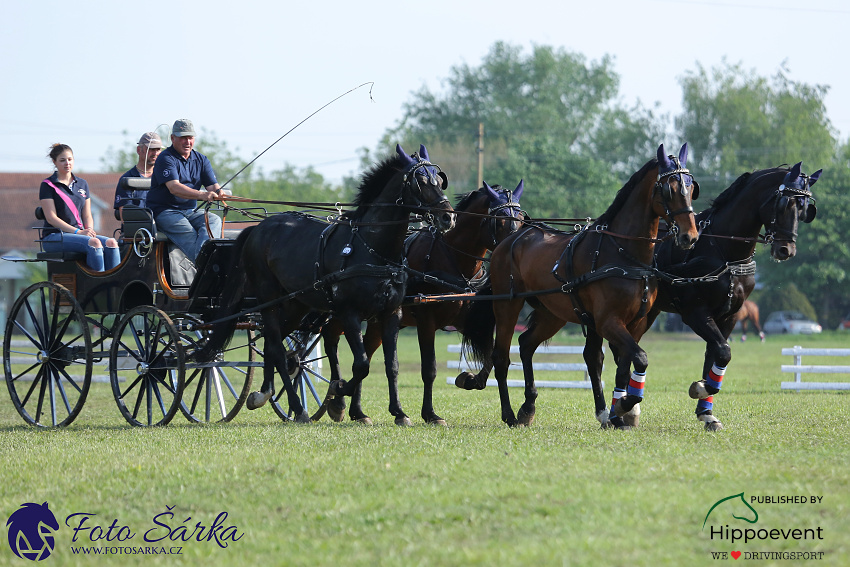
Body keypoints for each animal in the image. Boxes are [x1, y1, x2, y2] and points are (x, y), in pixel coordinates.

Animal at [195, 144, 454, 424]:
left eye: (439, 180)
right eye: (420, 182)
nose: (448, 217)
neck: (372, 248)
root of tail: (258, 228)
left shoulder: (390, 313)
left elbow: (391, 365)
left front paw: (399, 412)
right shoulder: (349, 312)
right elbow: (361, 364)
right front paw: (338, 392)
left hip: (295, 305)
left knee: (274, 347)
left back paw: (264, 393)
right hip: (268, 300)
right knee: (277, 349)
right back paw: (297, 408)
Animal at [320, 180, 524, 424]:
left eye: (521, 218)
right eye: (500, 220)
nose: (513, 250)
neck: (451, 260)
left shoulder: (465, 320)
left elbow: (492, 357)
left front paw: (470, 380)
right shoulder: (426, 320)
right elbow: (429, 369)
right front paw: (430, 414)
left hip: (378, 321)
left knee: (365, 352)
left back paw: (357, 412)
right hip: (345, 312)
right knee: (331, 338)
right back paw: (337, 400)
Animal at [464, 144, 696, 428]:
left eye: (691, 187)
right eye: (669, 189)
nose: (689, 236)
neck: (624, 253)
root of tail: (511, 238)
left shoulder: (634, 323)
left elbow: (622, 364)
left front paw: (616, 411)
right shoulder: (608, 321)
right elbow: (638, 358)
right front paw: (622, 406)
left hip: (552, 313)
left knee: (527, 344)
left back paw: (528, 407)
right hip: (507, 304)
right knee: (501, 356)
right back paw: (509, 413)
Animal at [644, 163, 820, 430]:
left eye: (804, 209)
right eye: (783, 204)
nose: (785, 250)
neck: (723, 254)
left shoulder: (730, 316)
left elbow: (715, 355)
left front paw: (707, 409)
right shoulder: (694, 313)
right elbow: (723, 351)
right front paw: (701, 389)